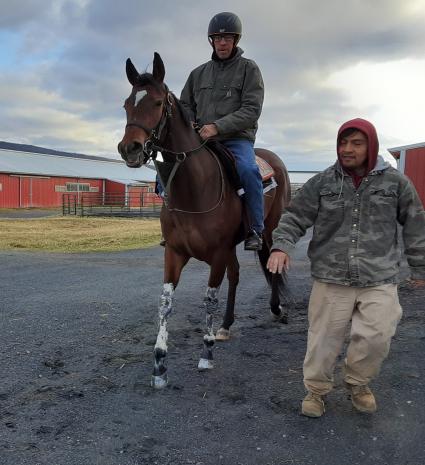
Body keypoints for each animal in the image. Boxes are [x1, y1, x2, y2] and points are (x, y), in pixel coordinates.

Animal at [118, 51, 292, 388]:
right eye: (127, 104)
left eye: (157, 103)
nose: (129, 148)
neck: (194, 190)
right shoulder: (175, 253)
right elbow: (165, 303)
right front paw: (159, 363)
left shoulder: (217, 254)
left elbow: (209, 298)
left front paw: (206, 353)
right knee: (236, 276)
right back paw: (225, 325)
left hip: (268, 231)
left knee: (270, 264)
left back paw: (277, 309)